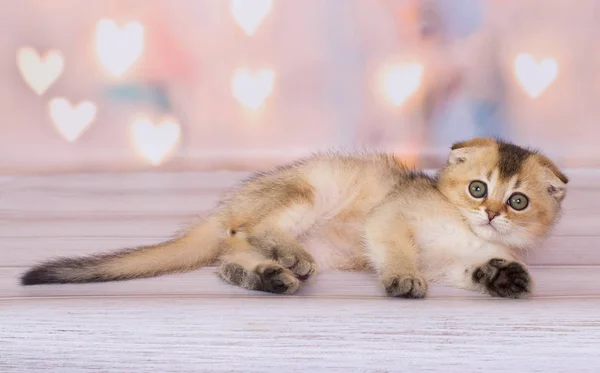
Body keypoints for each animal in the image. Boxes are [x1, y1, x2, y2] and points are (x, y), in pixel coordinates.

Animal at [22, 138, 568, 298]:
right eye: (478, 189)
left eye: (518, 201)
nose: (491, 214)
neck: (460, 228)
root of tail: (226, 204)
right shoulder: (389, 218)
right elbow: (396, 250)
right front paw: (403, 278)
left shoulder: (451, 263)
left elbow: (471, 269)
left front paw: (503, 276)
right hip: (306, 191)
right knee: (253, 229)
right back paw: (287, 256)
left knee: (230, 256)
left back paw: (266, 275)